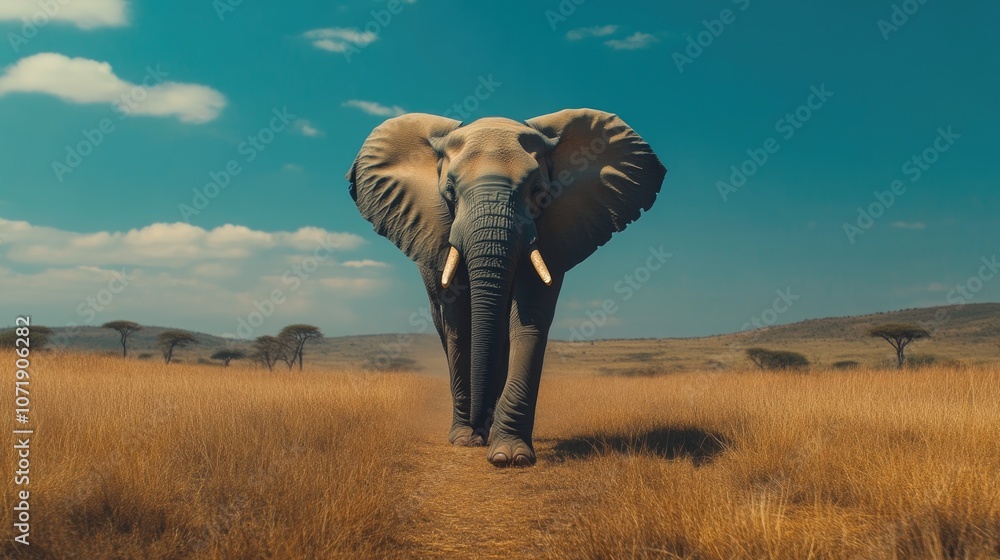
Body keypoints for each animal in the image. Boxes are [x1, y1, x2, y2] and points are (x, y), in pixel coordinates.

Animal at [348, 109, 666, 467]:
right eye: (450, 191)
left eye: (539, 191)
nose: (476, 428)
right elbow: (460, 324)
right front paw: (466, 439)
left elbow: (528, 319)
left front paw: (509, 455)